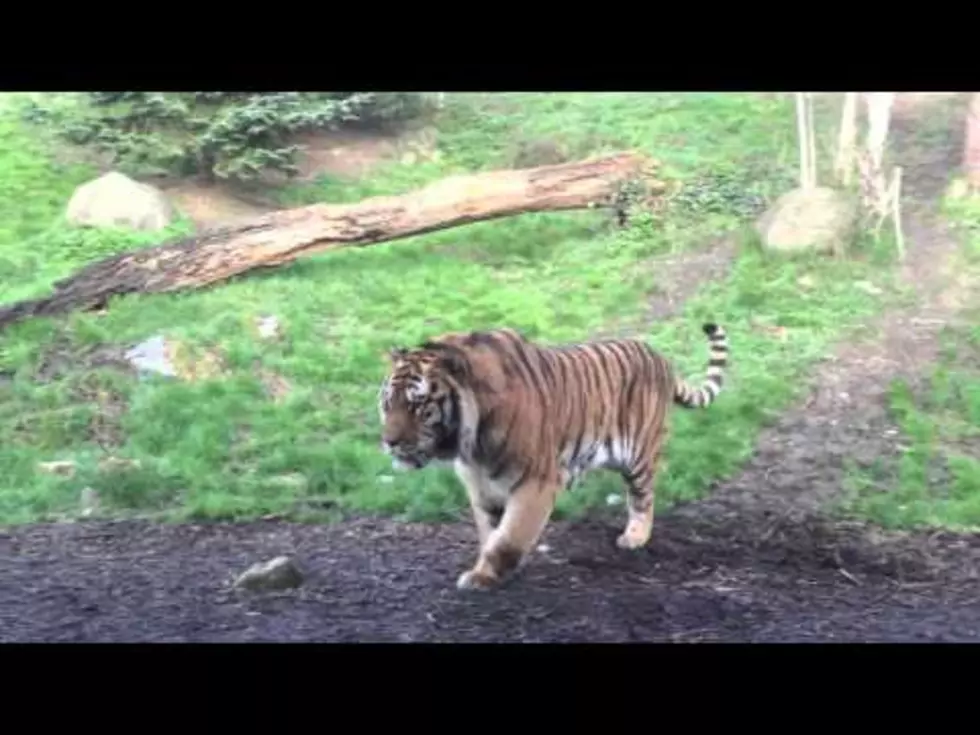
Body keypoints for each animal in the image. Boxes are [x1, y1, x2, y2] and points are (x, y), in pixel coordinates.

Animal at [376, 322, 728, 592]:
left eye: (418, 404)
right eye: (388, 403)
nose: (389, 442)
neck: (470, 442)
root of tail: (660, 357)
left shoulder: (537, 481)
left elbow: (511, 535)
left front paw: (483, 576)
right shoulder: (481, 487)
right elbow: (493, 533)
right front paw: (489, 568)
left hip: (639, 454)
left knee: (644, 497)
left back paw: (635, 537)